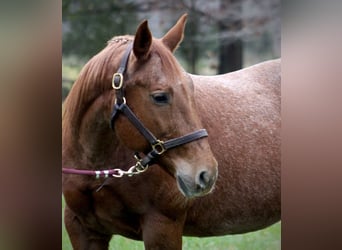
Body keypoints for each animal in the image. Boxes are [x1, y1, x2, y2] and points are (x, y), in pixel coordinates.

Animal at [62, 14, 280, 250]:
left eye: (192, 89)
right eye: (160, 96)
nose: (206, 174)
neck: (95, 165)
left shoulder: (163, 227)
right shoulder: (82, 229)